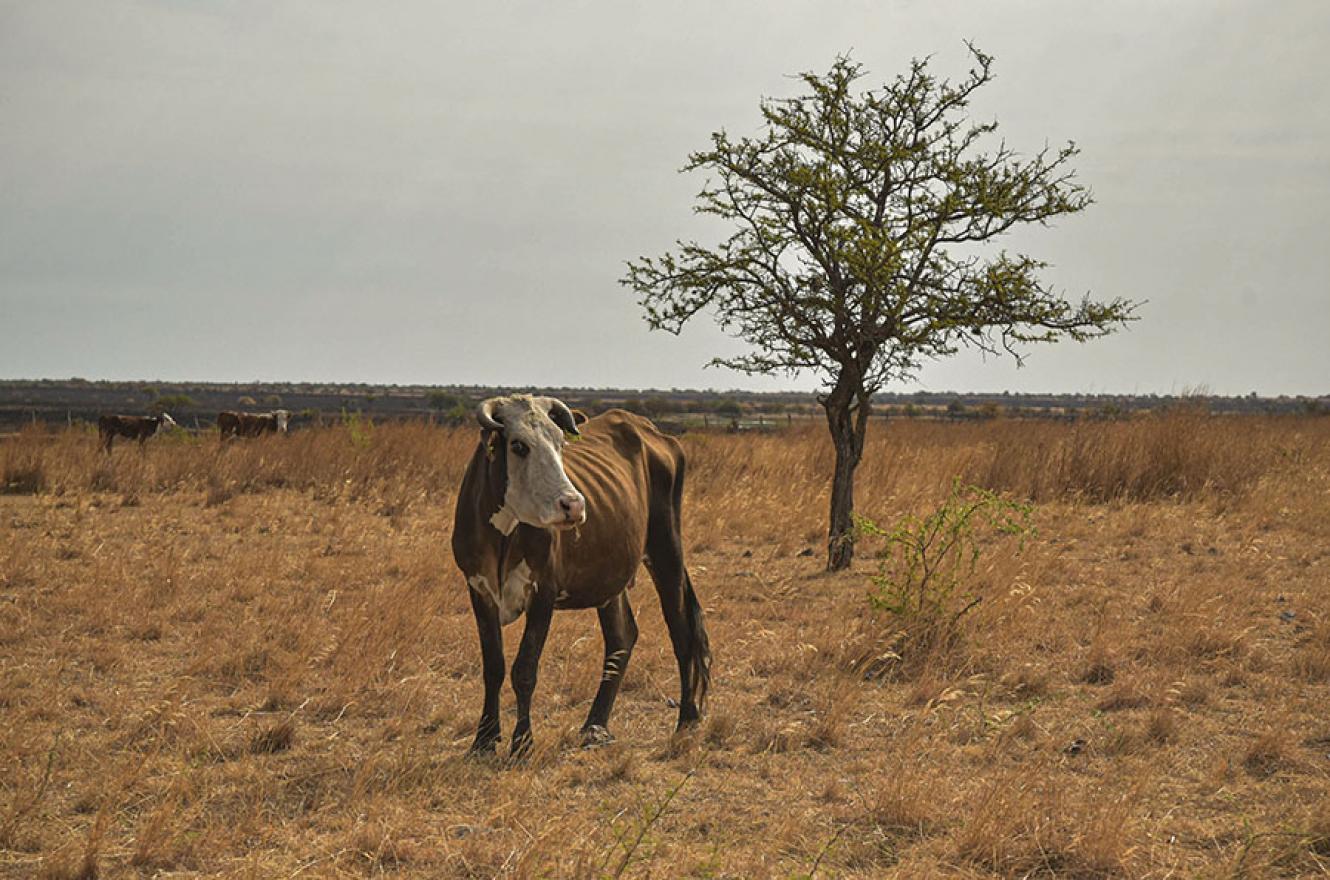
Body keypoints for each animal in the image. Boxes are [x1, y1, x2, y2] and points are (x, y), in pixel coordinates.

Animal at [452, 393, 712, 760]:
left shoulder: (544, 592)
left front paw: (522, 742)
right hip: (612, 577)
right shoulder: (479, 590)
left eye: (560, 444)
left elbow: (524, 670)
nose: (573, 505)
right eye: (518, 445)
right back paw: (595, 724)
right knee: (622, 637)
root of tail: (651, 431)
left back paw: (686, 720)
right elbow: (494, 667)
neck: (503, 535)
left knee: (682, 633)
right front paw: (484, 739)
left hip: (666, 551)